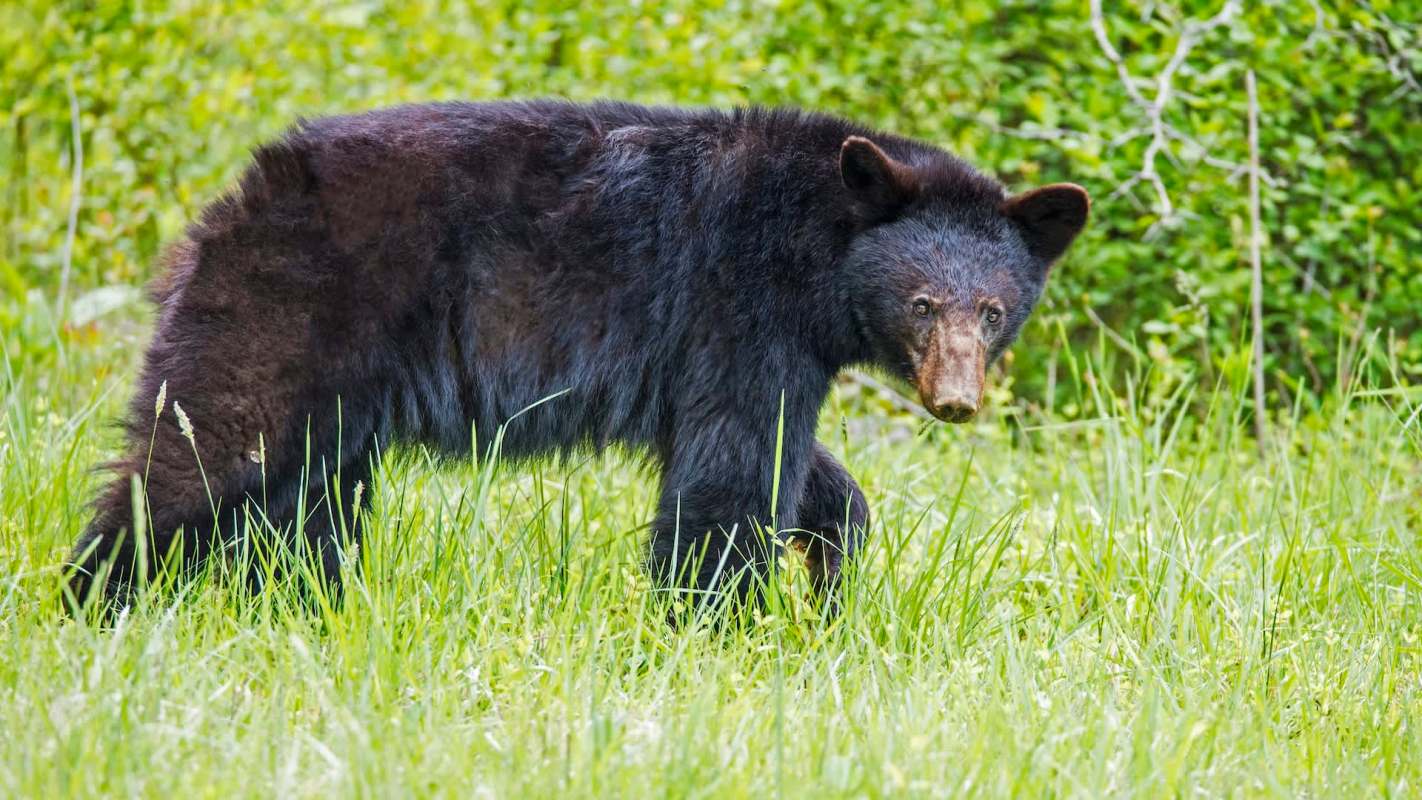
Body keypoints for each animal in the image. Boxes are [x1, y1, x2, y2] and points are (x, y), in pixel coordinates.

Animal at [62, 100, 1088, 618]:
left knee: (304, 503)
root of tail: (227, 207)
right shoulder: (737, 304)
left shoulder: (746, 347)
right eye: (923, 304)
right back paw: (93, 604)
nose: (955, 398)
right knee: (202, 453)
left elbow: (795, 468)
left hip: (337, 390)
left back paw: (303, 611)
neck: (816, 240)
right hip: (287, 311)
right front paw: (715, 626)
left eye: (994, 310)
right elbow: (733, 471)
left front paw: (831, 577)